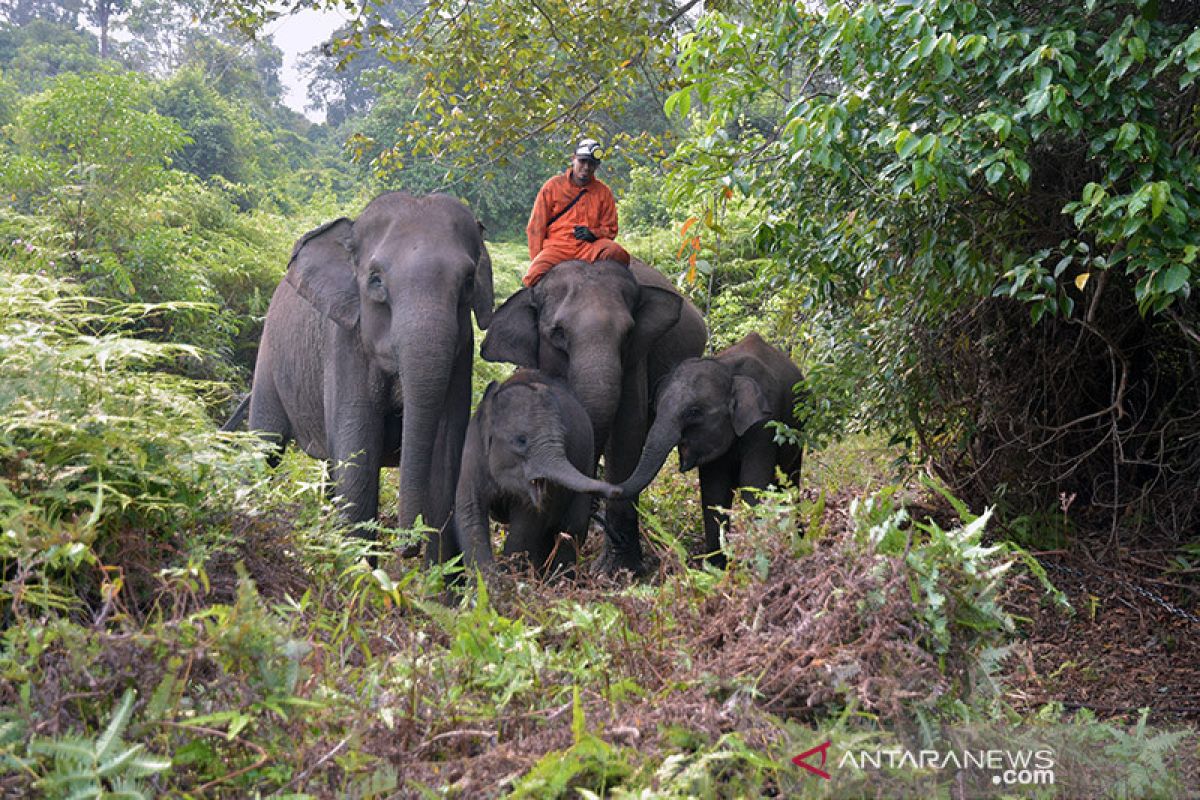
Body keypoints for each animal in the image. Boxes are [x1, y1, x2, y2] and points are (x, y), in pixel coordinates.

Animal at [243, 191, 492, 563]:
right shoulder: (345, 343)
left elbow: (446, 456)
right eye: (376, 280)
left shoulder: (462, 353)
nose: (407, 547)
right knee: (266, 444)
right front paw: (360, 573)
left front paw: (437, 579)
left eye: (467, 283)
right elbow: (357, 455)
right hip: (270, 353)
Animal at [451, 369, 619, 575]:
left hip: (586, 462)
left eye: (564, 438)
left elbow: (526, 527)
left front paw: (509, 578)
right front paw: (492, 581)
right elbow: (471, 513)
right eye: (521, 440)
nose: (616, 491)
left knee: (572, 528)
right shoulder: (472, 455)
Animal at [619, 331, 806, 568]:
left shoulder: (765, 424)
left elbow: (753, 484)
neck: (728, 371)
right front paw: (715, 567)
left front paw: (753, 559)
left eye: (694, 412)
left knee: (791, 481)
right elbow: (714, 492)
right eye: (656, 407)